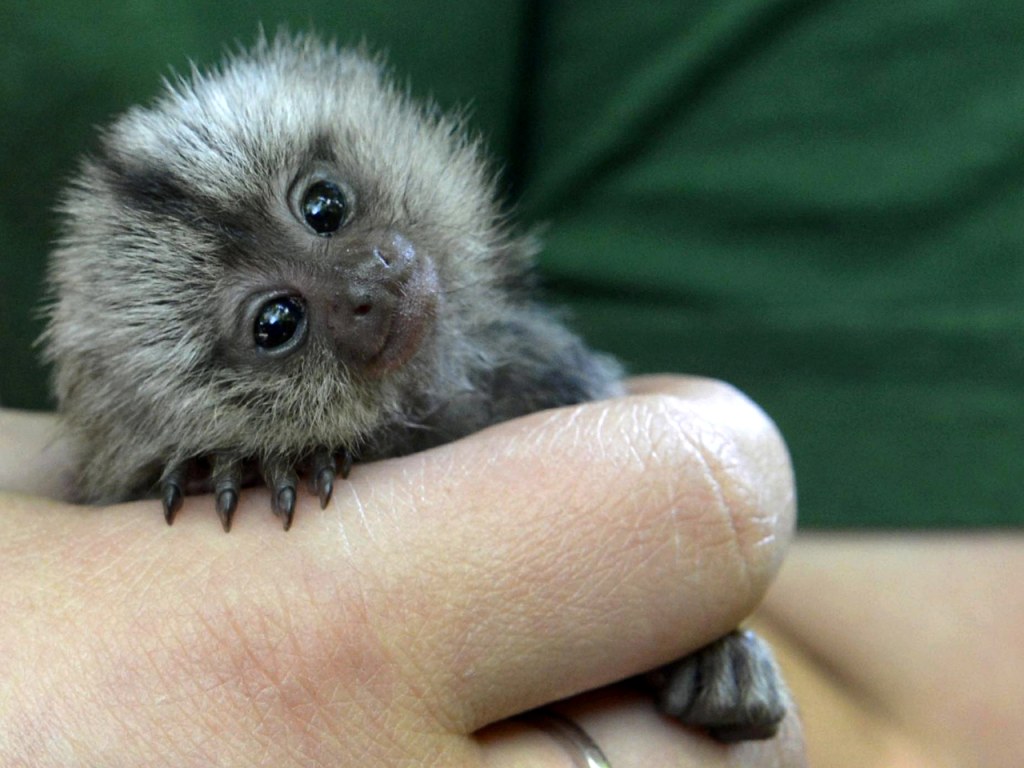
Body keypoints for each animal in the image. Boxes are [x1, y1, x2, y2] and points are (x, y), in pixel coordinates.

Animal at [40, 33, 789, 742]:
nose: (367, 283)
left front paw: (720, 652)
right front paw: (243, 464)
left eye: (323, 206)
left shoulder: (548, 368)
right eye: (277, 322)